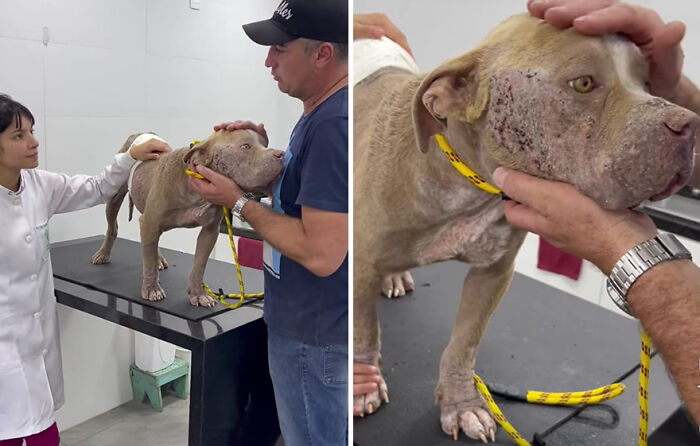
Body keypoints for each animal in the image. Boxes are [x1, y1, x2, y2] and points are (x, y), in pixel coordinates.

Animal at [92, 127, 284, 304]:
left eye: (264, 144)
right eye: (245, 146)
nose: (281, 154)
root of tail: (142, 133)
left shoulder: (209, 231)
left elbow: (199, 265)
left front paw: (198, 294)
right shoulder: (150, 221)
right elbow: (148, 263)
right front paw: (152, 289)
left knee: (151, 243)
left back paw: (158, 258)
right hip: (116, 197)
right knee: (114, 227)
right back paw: (103, 253)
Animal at [356, 13, 700, 442]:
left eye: (648, 83)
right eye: (583, 83)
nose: (689, 123)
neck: (470, 189)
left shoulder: (493, 273)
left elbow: (464, 345)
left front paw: (462, 405)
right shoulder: (360, 267)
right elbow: (364, 329)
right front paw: (362, 387)